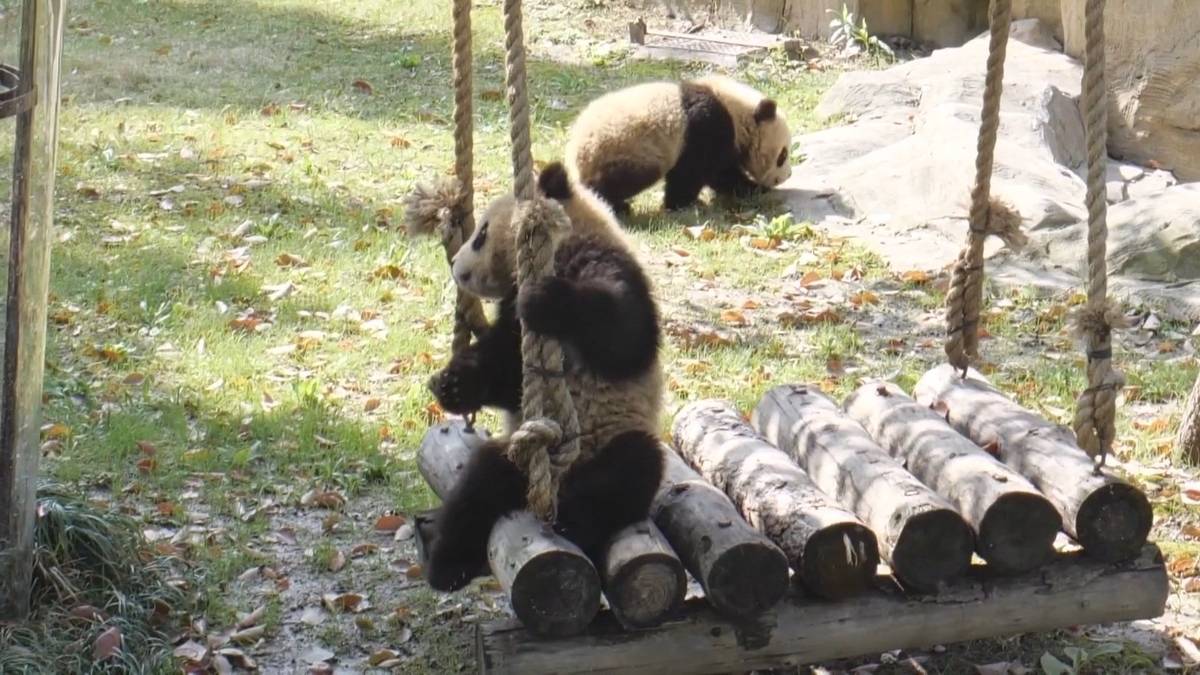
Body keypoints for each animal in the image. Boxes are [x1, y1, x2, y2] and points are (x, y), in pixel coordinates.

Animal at [424, 162, 665, 592]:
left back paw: (573, 521)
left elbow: (626, 333)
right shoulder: (513, 328)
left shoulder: (609, 265)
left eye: (481, 235)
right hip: (513, 458)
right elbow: (506, 374)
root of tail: (559, 482)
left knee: (630, 470)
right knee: (478, 489)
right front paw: (452, 385)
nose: (456, 268)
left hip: (615, 437)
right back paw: (448, 566)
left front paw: (546, 300)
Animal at [564, 75, 792, 214]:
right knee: (622, 178)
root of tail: (577, 153)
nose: (787, 175)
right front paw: (682, 204)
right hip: (627, 148)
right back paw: (615, 205)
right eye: (782, 155)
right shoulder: (706, 127)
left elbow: (719, 174)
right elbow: (697, 172)